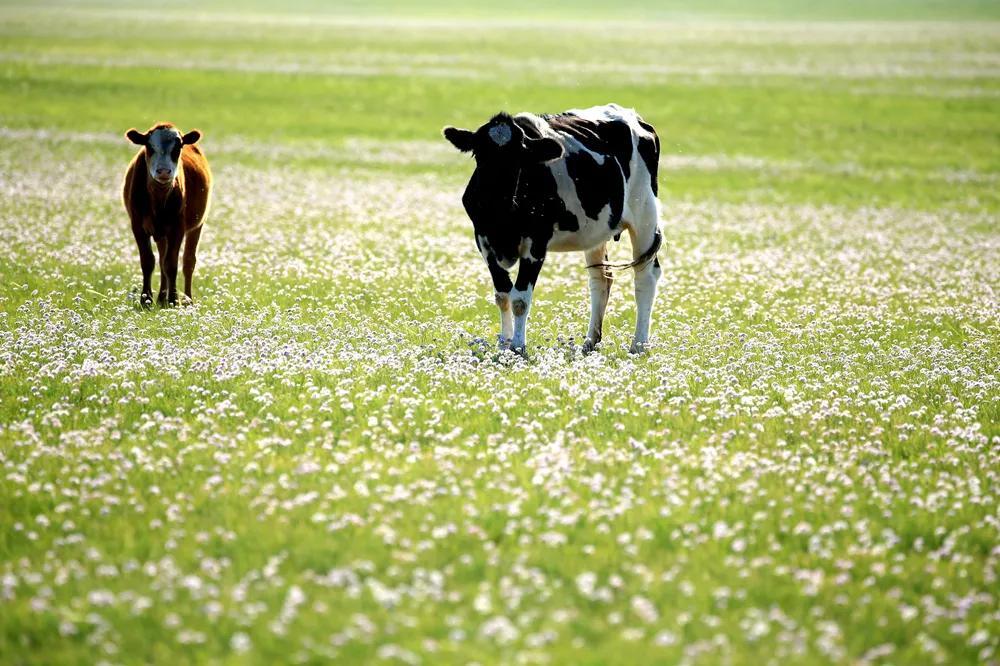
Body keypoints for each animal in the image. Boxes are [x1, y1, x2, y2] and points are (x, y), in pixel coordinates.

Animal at [123, 122, 213, 306]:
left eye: (178, 147)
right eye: (149, 146)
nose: (163, 171)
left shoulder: (177, 228)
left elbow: (171, 264)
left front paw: (173, 299)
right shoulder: (137, 226)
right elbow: (148, 261)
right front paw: (146, 299)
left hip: (197, 225)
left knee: (188, 261)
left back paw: (186, 299)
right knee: (161, 258)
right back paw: (160, 298)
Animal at [446, 102, 664, 352]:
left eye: (519, 157)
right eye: (479, 153)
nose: (494, 197)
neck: (502, 217)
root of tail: (632, 115)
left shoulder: (536, 243)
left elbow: (519, 298)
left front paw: (518, 347)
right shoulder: (483, 241)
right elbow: (502, 295)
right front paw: (504, 344)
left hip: (645, 215)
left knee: (646, 276)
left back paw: (638, 344)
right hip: (597, 232)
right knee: (601, 278)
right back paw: (590, 342)